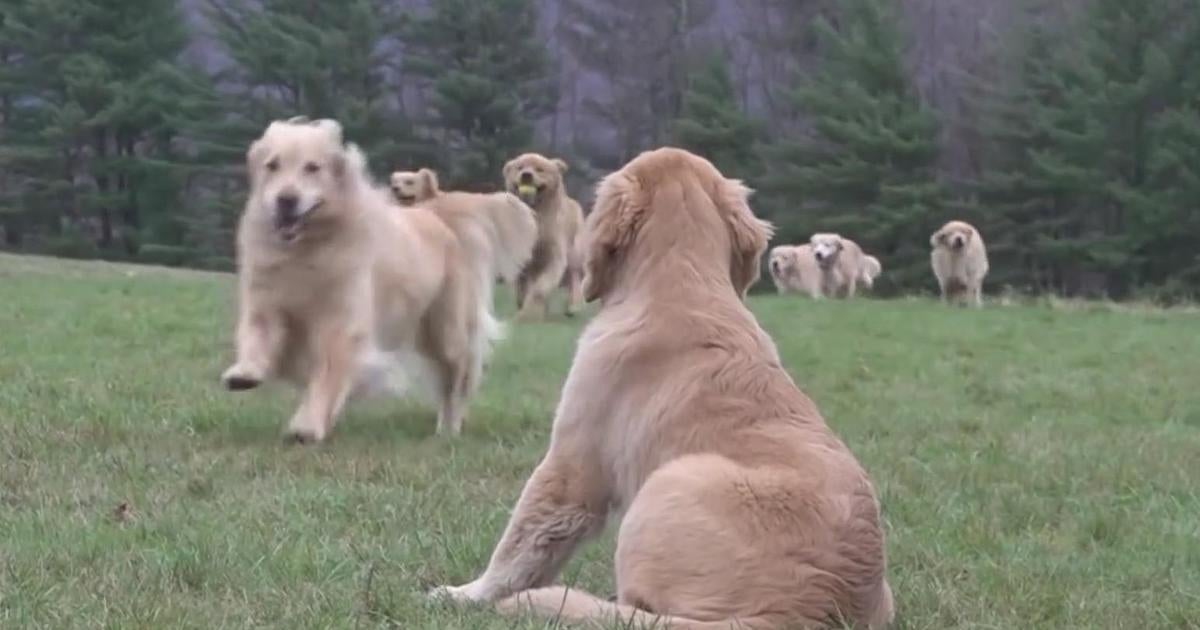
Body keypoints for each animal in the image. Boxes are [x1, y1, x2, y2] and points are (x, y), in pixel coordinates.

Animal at [219, 119, 535, 441]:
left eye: (312, 167)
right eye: (272, 166)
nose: (286, 200)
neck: (307, 249)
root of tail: (438, 217)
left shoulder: (341, 322)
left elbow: (327, 374)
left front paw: (307, 426)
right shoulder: (267, 301)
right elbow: (257, 334)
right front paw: (244, 373)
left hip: (447, 329)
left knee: (457, 379)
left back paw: (449, 429)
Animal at [501, 151, 585, 319]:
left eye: (540, 169)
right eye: (520, 167)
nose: (526, 175)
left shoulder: (553, 244)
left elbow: (544, 282)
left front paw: (531, 308)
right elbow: (520, 283)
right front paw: (523, 308)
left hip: (575, 248)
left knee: (574, 275)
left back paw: (572, 307)